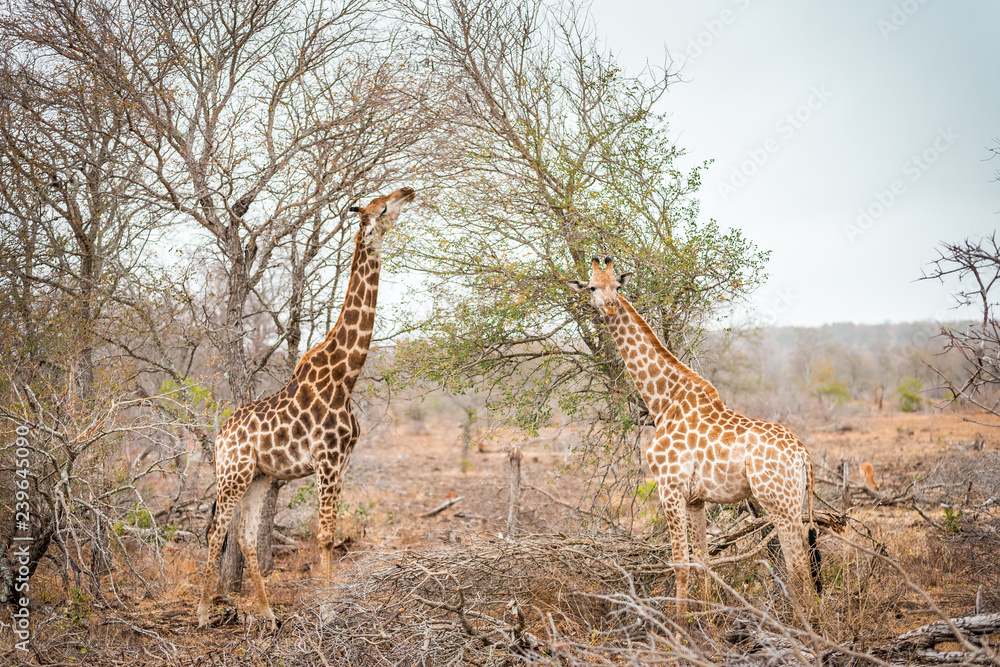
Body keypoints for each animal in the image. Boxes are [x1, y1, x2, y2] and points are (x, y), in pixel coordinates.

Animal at [196, 187, 415, 629]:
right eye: (383, 207)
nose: (409, 190)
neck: (345, 376)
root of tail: (220, 437)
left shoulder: (343, 461)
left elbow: (331, 531)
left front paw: (329, 606)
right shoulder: (326, 460)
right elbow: (325, 535)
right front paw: (328, 611)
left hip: (258, 476)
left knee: (244, 536)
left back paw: (267, 613)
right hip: (233, 474)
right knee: (217, 532)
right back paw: (202, 613)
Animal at [568, 256, 818, 620]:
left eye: (616, 286)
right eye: (591, 288)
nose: (611, 306)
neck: (664, 401)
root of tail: (804, 455)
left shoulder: (669, 487)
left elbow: (680, 564)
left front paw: (679, 624)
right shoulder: (695, 498)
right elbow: (703, 561)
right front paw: (708, 622)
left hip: (778, 501)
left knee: (798, 566)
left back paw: (805, 625)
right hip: (793, 500)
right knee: (803, 564)